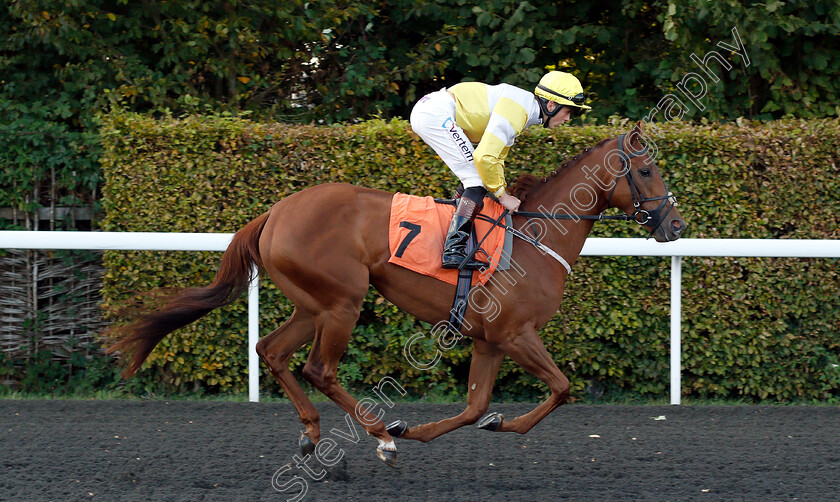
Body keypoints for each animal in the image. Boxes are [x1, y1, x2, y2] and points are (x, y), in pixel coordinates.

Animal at [106, 121, 684, 466]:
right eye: (647, 170)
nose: (676, 225)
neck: (536, 237)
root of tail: (275, 211)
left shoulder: (489, 340)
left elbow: (476, 407)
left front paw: (444, 428)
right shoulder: (516, 334)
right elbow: (562, 388)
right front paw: (420, 431)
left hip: (311, 303)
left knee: (271, 351)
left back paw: (314, 432)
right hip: (342, 301)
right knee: (319, 369)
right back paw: (379, 433)